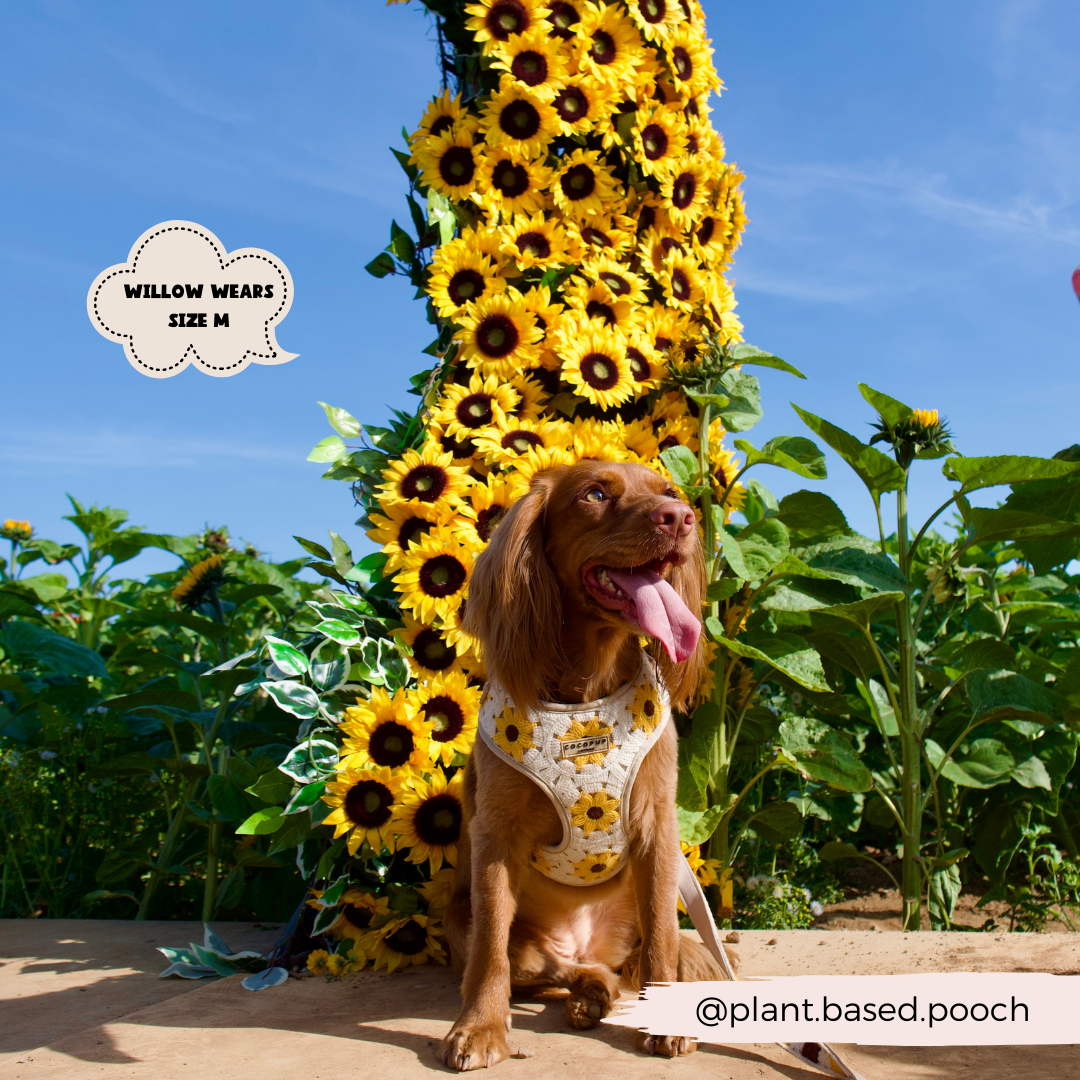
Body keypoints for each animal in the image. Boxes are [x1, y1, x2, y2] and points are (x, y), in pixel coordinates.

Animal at [438, 457, 725, 1071]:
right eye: (594, 495)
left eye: (670, 490)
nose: (680, 517)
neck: (586, 692)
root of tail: (588, 940)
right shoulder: (494, 835)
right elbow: (490, 953)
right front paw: (479, 1028)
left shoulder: (657, 825)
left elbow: (662, 942)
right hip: (462, 920)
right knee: (564, 971)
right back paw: (586, 997)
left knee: (631, 966)